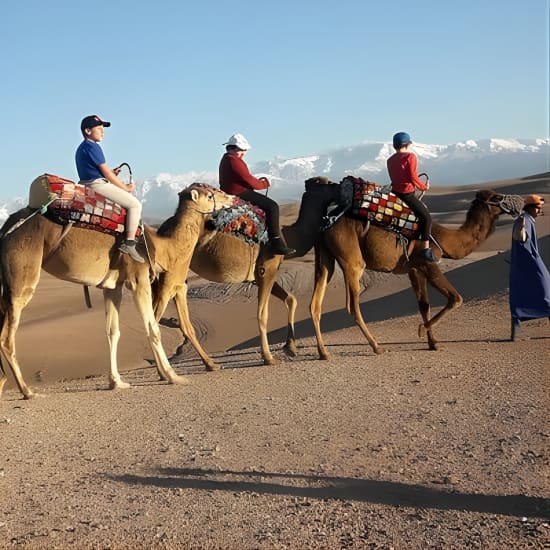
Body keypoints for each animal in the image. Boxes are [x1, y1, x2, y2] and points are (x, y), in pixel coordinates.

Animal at [0, 181, 229, 402]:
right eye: (211, 194)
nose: (230, 197)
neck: (161, 247)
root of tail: (7, 227)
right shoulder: (139, 279)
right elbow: (153, 328)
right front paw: (174, 376)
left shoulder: (113, 286)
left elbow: (113, 331)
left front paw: (116, 382)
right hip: (22, 277)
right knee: (7, 338)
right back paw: (28, 391)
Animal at [149, 181, 342, 368]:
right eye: (328, 185)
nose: (340, 186)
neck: (289, 237)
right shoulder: (267, 268)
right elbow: (262, 314)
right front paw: (268, 358)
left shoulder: (260, 275)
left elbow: (291, 299)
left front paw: (290, 348)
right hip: (171, 275)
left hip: (179, 276)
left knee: (181, 315)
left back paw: (209, 364)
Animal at [308, 187, 524, 358]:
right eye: (496, 197)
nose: (520, 202)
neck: (445, 239)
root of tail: (325, 225)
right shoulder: (428, 263)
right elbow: (456, 298)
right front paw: (421, 331)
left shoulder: (414, 269)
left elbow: (424, 306)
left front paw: (433, 343)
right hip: (352, 258)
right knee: (353, 305)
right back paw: (376, 346)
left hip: (325, 258)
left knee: (315, 302)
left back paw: (324, 352)